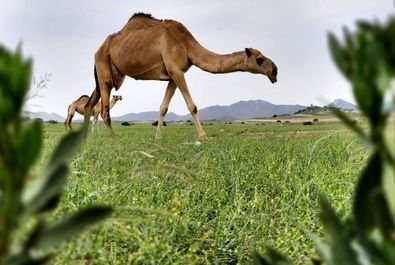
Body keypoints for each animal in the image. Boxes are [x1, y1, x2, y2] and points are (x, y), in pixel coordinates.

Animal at [86, 12, 278, 138]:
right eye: (259, 59)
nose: (275, 71)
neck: (186, 44)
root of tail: (98, 49)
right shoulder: (176, 71)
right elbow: (192, 105)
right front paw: (202, 135)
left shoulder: (173, 75)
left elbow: (163, 107)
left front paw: (158, 137)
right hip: (104, 67)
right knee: (104, 108)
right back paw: (113, 137)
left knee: (92, 102)